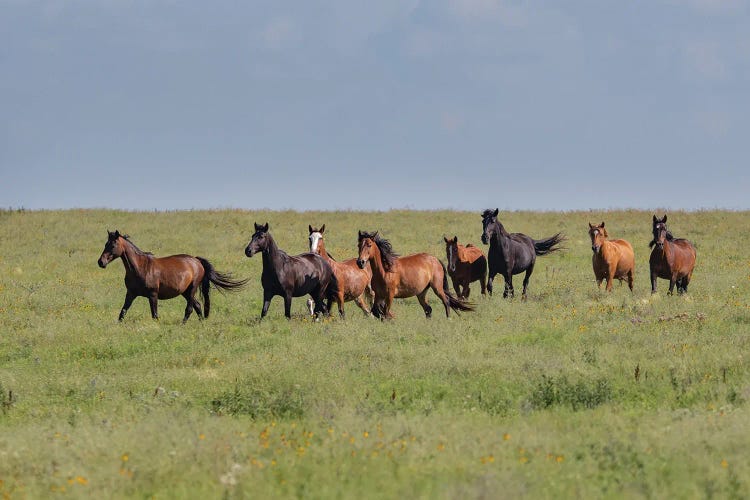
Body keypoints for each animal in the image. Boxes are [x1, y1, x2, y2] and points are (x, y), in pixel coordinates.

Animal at [95, 229, 250, 322]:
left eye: (112, 245)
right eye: (105, 244)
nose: (101, 262)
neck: (140, 268)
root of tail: (196, 260)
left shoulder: (153, 295)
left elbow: (155, 315)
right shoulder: (131, 294)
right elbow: (122, 313)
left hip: (192, 289)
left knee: (190, 308)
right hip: (185, 292)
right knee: (198, 306)